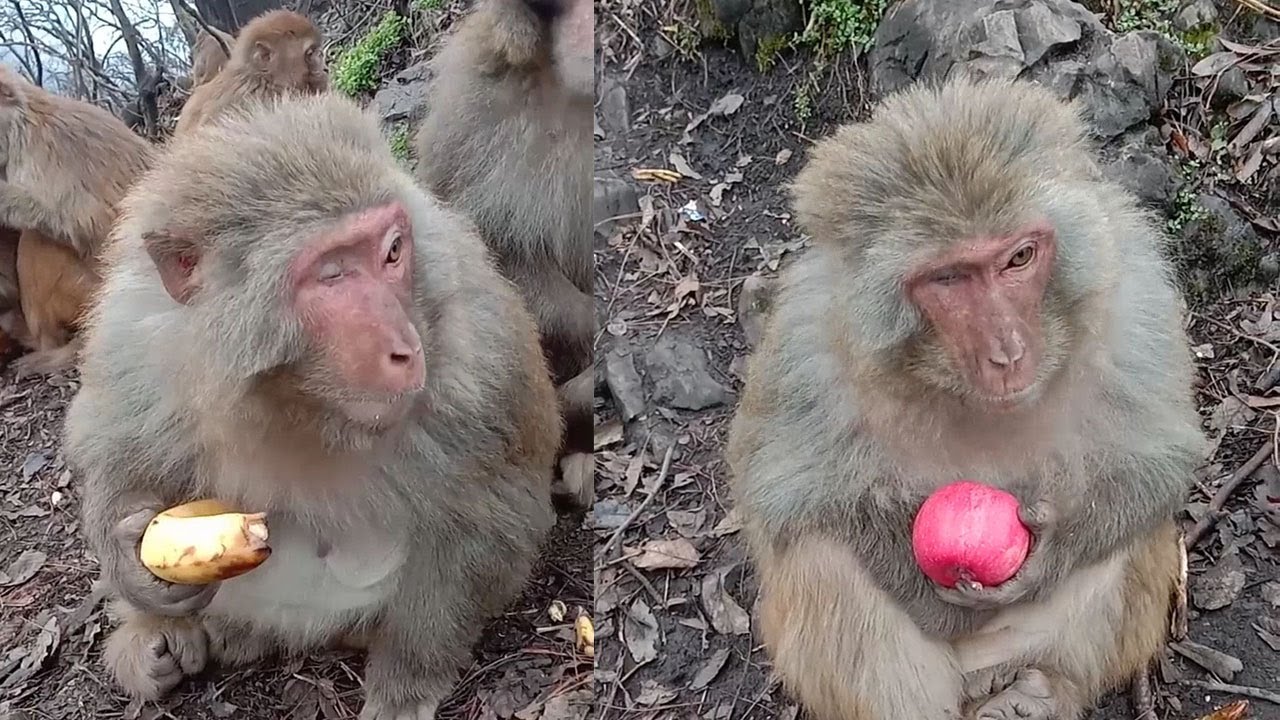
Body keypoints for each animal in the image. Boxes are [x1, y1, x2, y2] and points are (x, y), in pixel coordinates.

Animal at [62, 93, 560, 719]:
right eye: (332, 275)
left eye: (392, 252)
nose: (406, 349)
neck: (296, 402)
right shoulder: (135, 343)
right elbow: (112, 445)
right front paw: (133, 560)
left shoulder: (483, 358)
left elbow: (495, 512)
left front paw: (406, 682)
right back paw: (162, 639)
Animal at [724, 77, 1205, 720]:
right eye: (949, 279)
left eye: (1018, 258)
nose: (1007, 352)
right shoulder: (808, 346)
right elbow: (781, 498)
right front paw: (932, 595)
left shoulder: (1135, 300)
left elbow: (1159, 459)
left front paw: (1049, 551)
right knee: (822, 556)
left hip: (1020, 648)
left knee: (1129, 535)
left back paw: (1040, 693)